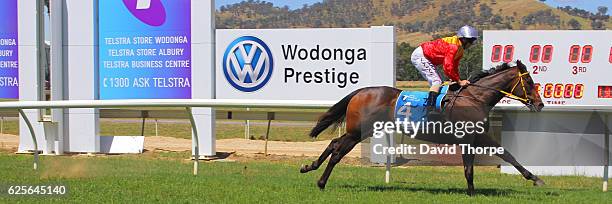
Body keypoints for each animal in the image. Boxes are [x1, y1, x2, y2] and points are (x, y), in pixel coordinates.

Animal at [302, 60, 544, 196]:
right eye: (530, 82)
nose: (540, 104)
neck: (475, 97)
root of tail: (362, 91)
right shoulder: (471, 138)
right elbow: (492, 160)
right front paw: (534, 178)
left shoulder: (475, 138)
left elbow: (498, 157)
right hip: (358, 132)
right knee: (337, 151)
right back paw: (321, 182)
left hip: (361, 131)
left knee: (334, 143)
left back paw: (309, 167)